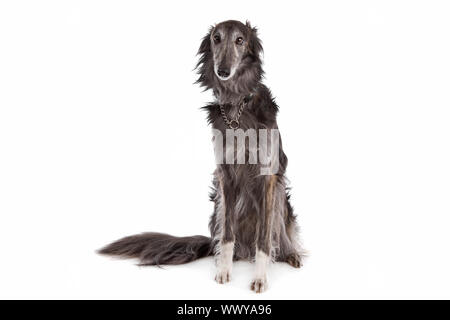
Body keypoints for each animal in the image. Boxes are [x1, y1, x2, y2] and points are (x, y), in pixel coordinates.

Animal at [98, 20, 302, 294]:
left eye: (240, 40)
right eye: (216, 38)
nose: (223, 70)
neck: (237, 107)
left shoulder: (267, 177)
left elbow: (264, 240)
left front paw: (260, 278)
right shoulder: (225, 176)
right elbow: (226, 236)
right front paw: (224, 270)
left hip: (281, 199)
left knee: (279, 236)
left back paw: (291, 254)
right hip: (218, 205)